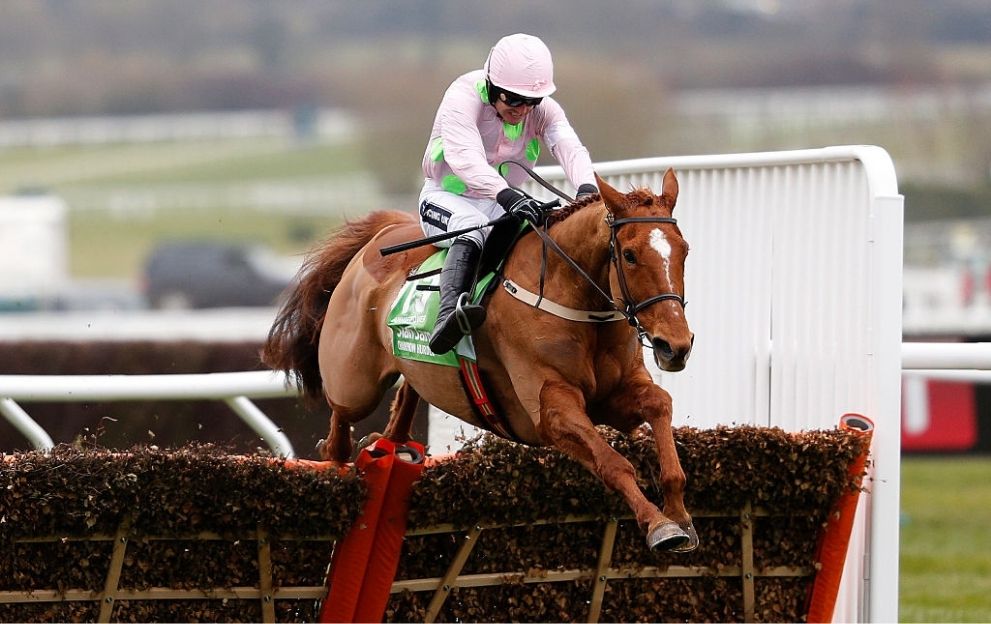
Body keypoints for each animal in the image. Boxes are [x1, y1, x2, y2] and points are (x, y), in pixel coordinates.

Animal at [264, 171, 696, 552]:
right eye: (630, 255)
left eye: (684, 250)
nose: (675, 345)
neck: (571, 297)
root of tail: (383, 234)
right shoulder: (550, 410)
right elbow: (613, 463)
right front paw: (659, 524)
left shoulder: (616, 395)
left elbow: (660, 404)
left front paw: (679, 512)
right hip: (356, 380)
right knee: (341, 418)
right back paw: (338, 457)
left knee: (405, 397)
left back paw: (389, 442)